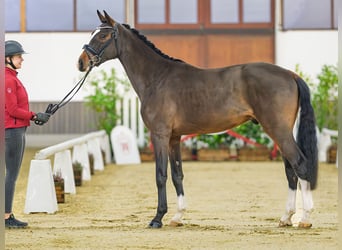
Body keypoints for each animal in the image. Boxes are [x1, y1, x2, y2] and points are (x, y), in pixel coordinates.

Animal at [77, 10, 318, 229]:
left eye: (103, 36)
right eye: (93, 33)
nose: (81, 62)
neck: (157, 78)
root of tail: (290, 74)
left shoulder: (160, 135)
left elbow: (161, 175)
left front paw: (157, 218)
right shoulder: (174, 137)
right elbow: (177, 174)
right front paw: (177, 217)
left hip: (278, 130)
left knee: (300, 165)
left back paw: (305, 219)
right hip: (279, 132)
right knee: (290, 170)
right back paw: (286, 218)